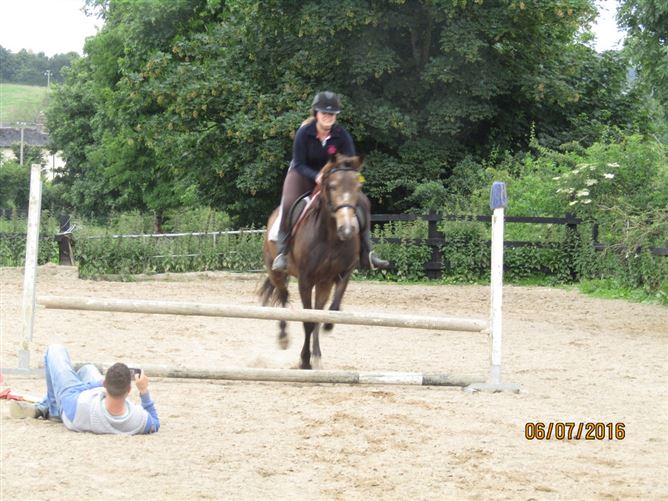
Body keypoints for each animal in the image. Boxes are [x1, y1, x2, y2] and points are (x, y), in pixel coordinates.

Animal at [259, 154, 363, 369]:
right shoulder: (305, 280)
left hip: (322, 282)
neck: (330, 237)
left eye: (358, 187)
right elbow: (307, 320)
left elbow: (327, 312)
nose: (347, 230)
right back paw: (283, 338)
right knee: (283, 296)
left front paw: (316, 350)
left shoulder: (340, 275)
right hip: (276, 272)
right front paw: (305, 361)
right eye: (332, 186)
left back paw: (316, 354)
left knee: (317, 309)